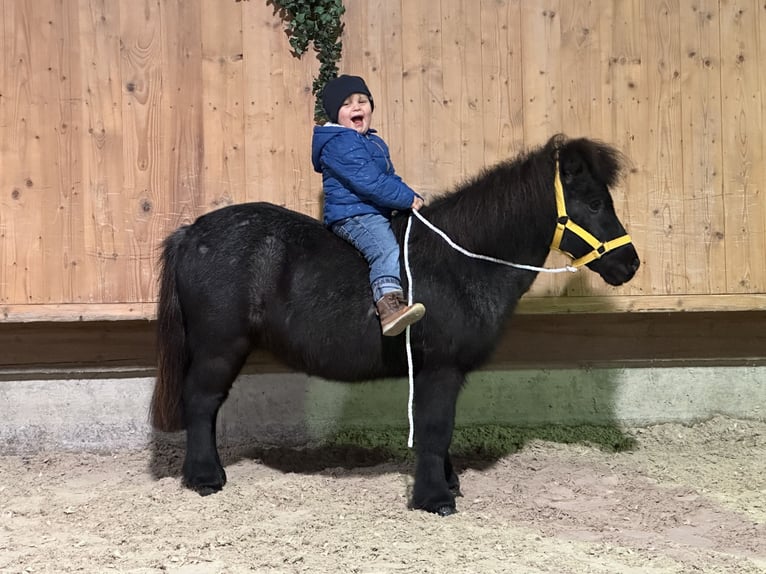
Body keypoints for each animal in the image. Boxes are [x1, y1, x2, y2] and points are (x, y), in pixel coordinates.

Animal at [150, 134, 640, 516]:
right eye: (595, 202)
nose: (630, 264)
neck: (462, 262)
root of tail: (191, 234)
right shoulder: (441, 368)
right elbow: (436, 428)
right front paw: (435, 498)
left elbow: (438, 430)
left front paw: (447, 481)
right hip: (219, 346)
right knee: (201, 402)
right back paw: (204, 477)